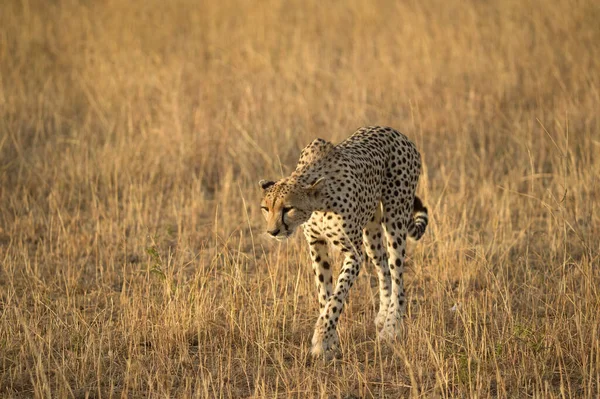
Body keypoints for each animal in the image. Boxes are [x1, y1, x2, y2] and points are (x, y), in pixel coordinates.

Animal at [258, 126, 426, 358]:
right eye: (266, 208)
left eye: (288, 208)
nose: (273, 231)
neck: (318, 203)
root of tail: (396, 132)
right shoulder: (316, 245)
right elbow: (324, 294)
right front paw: (331, 340)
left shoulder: (354, 254)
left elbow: (337, 296)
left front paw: (321, 339)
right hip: (371, 231)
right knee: (383, 269)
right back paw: (382, 316)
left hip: (395, 219)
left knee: (398, 277)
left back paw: (391, 327)